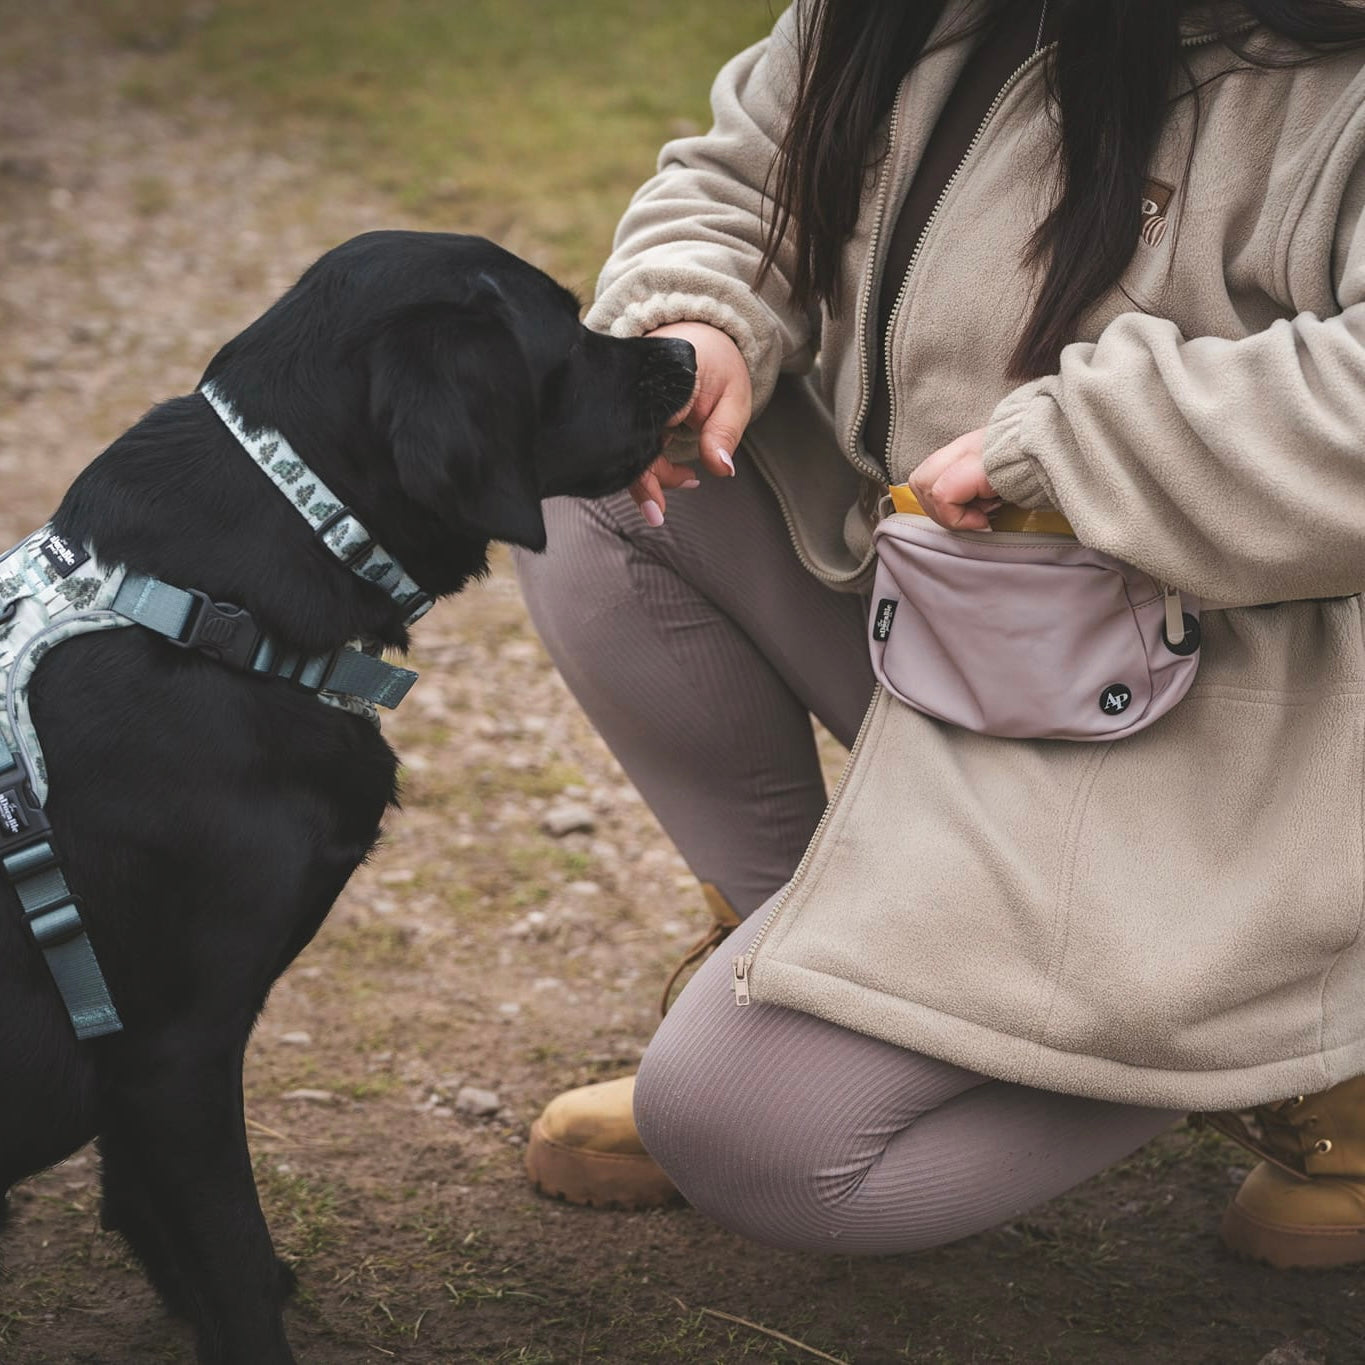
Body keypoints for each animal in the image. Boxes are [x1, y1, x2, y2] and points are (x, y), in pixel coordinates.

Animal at [0, 232, 698, 1365]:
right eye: (561, 327)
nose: (684, 354)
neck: (209, 610)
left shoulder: (139, 1068)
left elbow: (152, 1212)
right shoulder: (173, 1052)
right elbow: (231, 1259)